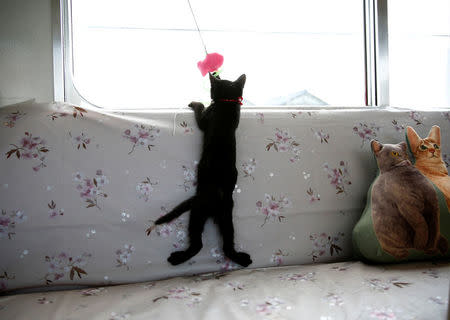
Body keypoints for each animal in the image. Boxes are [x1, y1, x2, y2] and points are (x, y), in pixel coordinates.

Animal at [146, 73, 251, 268]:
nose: (215, 74)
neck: (226, 102)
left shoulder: (204, 120)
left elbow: (201, 110)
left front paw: (196, 103)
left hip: (197, 213)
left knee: (198, 244)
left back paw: (177, 258)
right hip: (227, 217)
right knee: (227, 245)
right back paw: (242, 259)